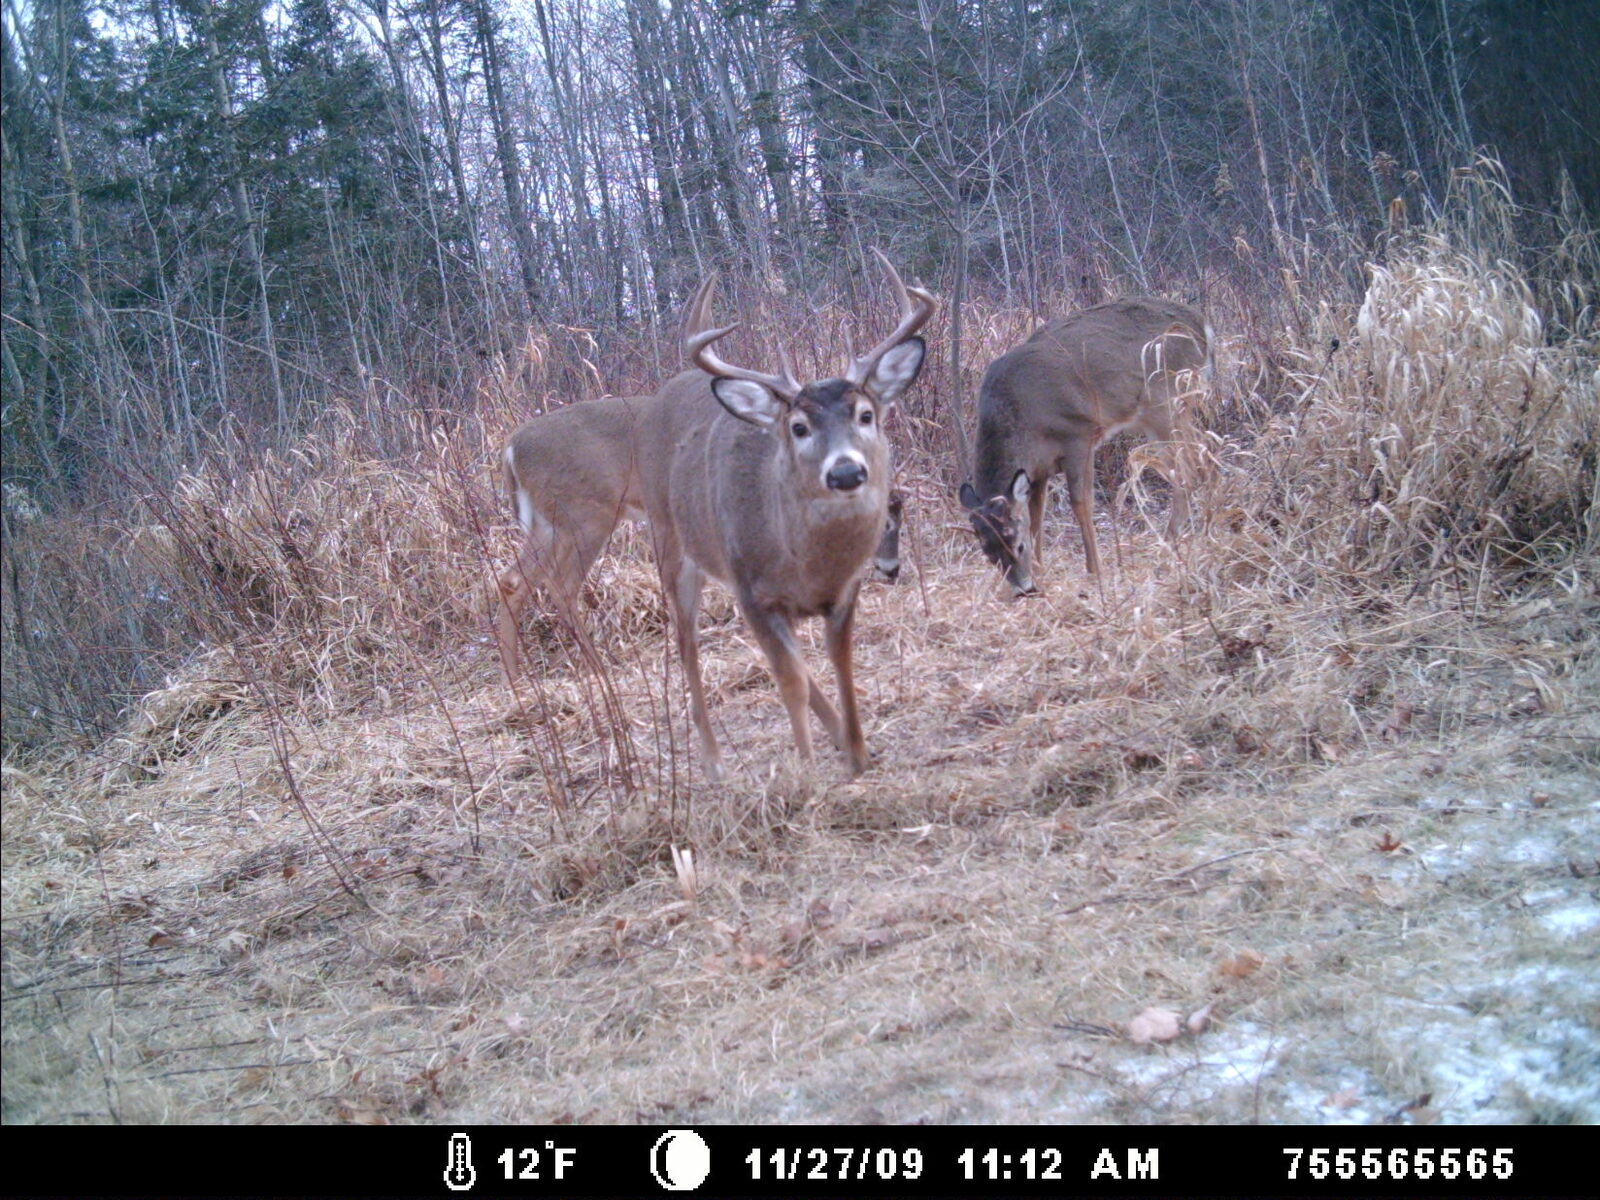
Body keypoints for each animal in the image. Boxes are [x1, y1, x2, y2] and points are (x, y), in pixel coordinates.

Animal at [635, 251, 936, 780]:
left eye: (865, 415)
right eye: (798, 427)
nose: (845, 472)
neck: (807, 565)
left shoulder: (842, 591)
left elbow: (839, 664)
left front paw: (857, 754)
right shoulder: (755, 591)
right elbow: (789, 681)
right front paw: (808, 771)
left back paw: (833, 733)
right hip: (672, 543)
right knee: (687, 644)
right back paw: (713, 761)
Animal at [958, 297, 1212, 595]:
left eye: (1018, 545)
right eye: (988, 553)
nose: (1024, 589)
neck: (1022, 415)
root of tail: (1202, 324)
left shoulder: (1079, 435)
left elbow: (1081, 504)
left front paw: (1095, 571)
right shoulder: (1038, 468)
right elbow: (1036, 516)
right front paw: (1041, 571)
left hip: (1167, 399)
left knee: (1189, 468)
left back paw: (1169, 545)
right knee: (1204, 453)